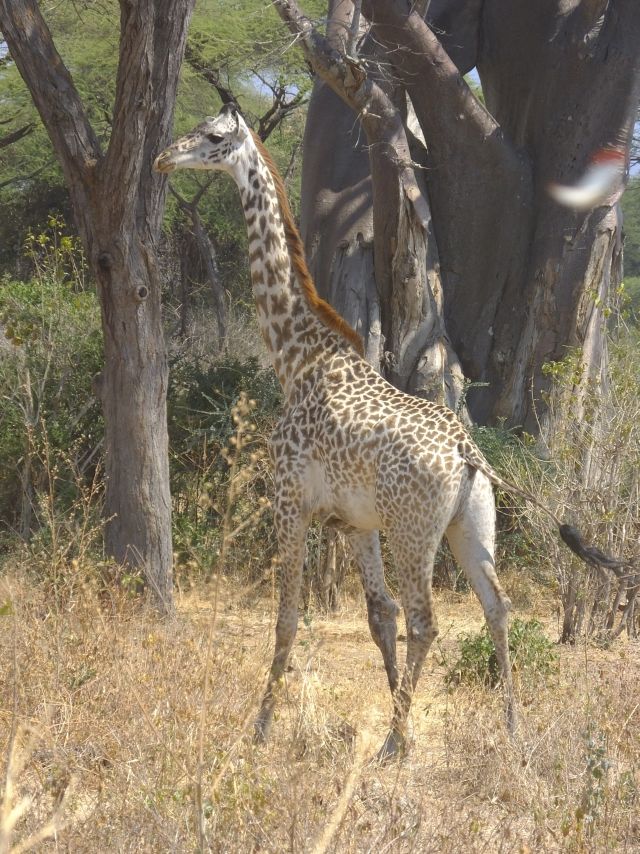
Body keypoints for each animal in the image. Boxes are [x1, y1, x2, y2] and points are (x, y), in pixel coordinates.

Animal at [154, 103, 626, 761]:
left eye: (215, 137)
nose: (162, 157)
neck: (296, 356)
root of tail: (468, 451)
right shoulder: (355, 522)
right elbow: (378, 617)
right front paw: (397, 717)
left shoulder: (289, 501)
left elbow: (289, 617)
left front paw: (261, 727)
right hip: (468, 525)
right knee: (496, 608)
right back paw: (510, 727)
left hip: (414, 530)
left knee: (428, 619)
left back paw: (394, 743)